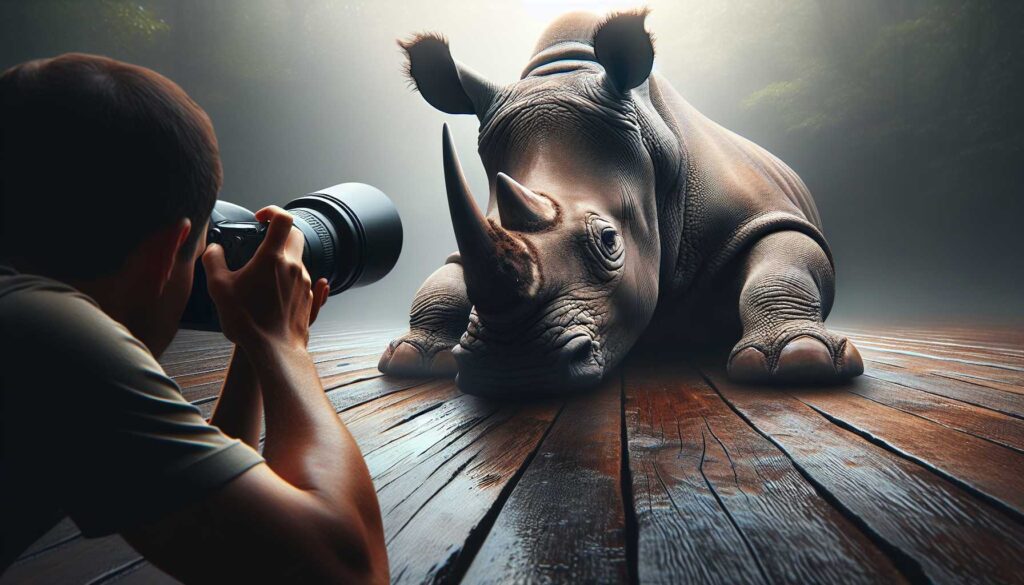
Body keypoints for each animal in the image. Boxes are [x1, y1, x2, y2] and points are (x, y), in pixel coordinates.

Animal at [378, 10, 864, 395]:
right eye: (490, 220)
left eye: (610, 241)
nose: (513, 369)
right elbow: (445, 277)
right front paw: (410, 357)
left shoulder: (765, 214)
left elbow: (784, 261)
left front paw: (802, 359)